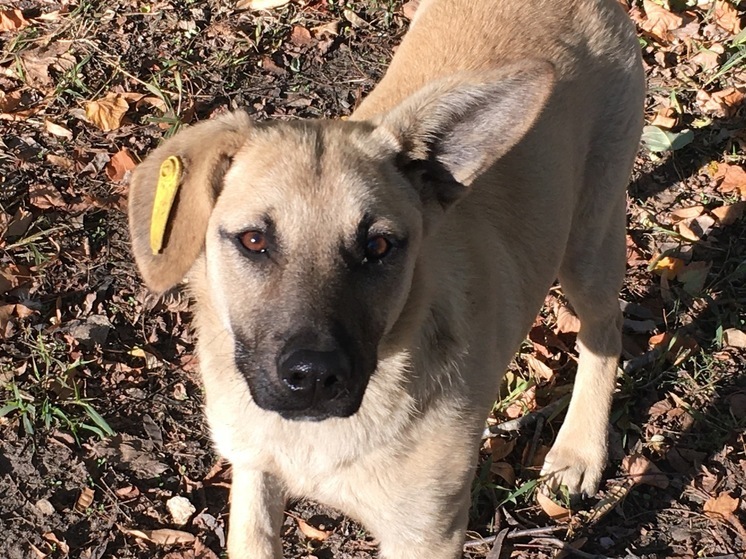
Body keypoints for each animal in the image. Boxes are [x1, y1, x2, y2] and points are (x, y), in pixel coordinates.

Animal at [126, 0, 640, 556]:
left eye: (378, 247)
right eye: (253, 240)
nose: (314, 377)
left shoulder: (426, 534)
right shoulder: (253, 470)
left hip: (589, 237)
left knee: (606, 327)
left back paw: (579, 450)